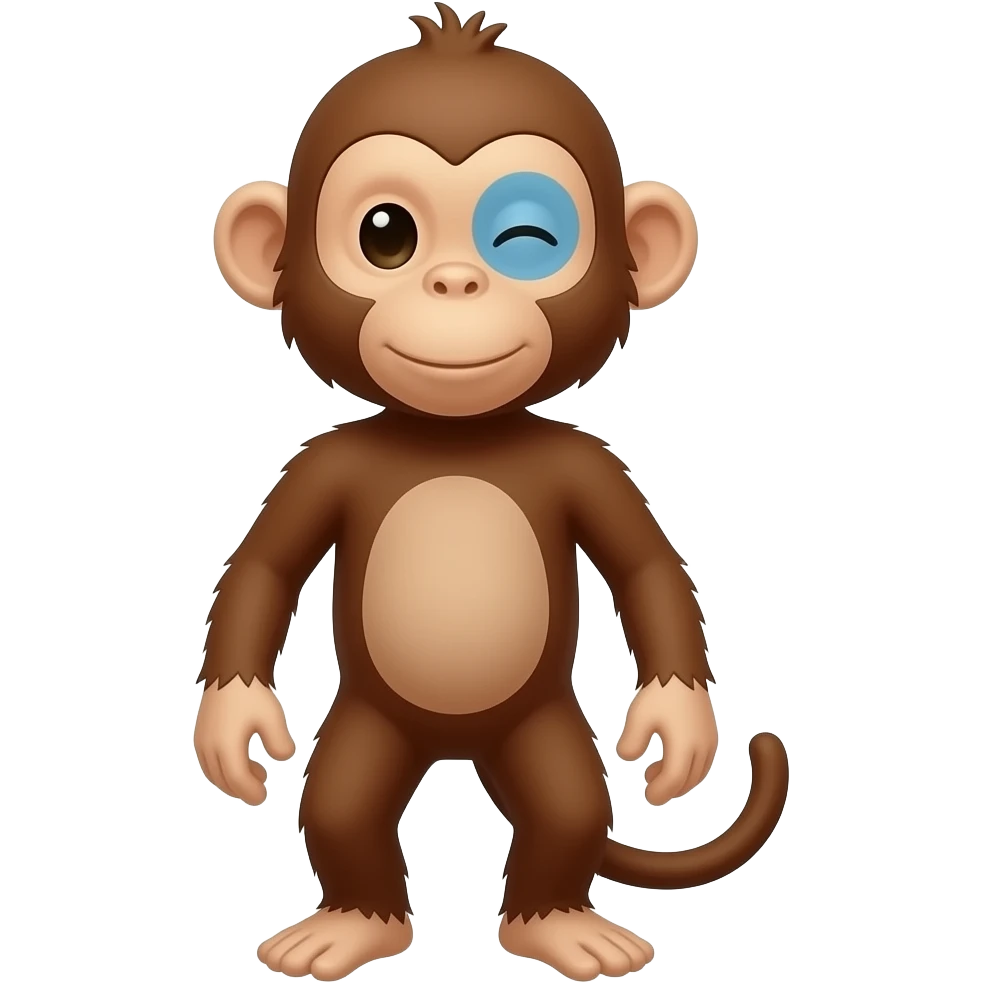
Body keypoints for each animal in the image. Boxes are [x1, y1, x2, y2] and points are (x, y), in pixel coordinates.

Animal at [194, 5, 790, 981]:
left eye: (526, 240)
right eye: (386, 235)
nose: (455, 281)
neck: (455, 435)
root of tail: (455, 746)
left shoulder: (592, 463)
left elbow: (646, 567)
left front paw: (677, 726)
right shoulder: (316, 464)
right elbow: (264, 568)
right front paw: (233, 723)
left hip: (542, 726)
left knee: (567, 809)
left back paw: (557, 922)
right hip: (369, 723)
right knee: (342, 808)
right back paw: (353, 921)